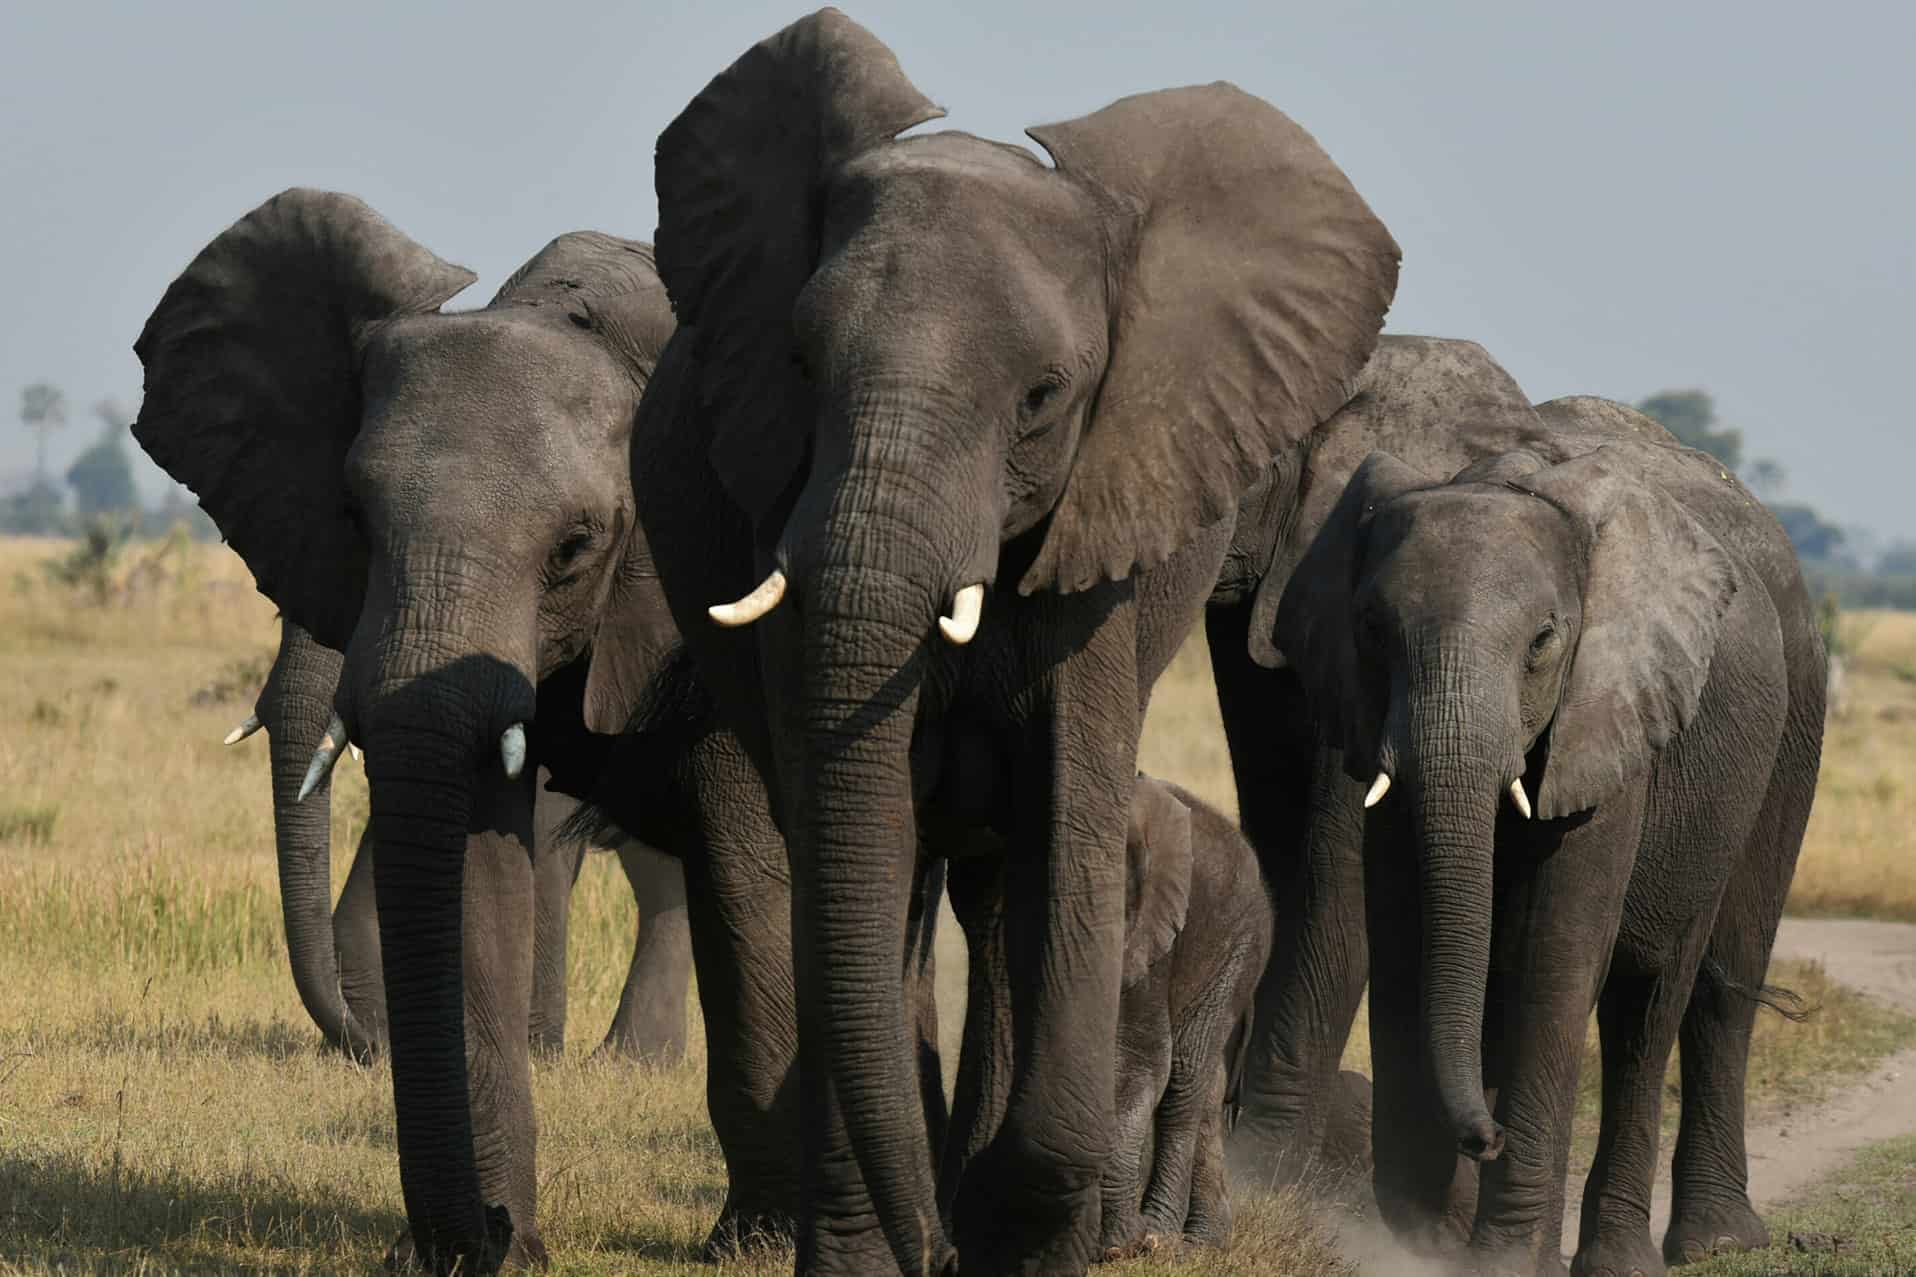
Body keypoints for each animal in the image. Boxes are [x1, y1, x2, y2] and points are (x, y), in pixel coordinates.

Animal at [1103, 770, 1279, 1257]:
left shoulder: (1151, 929)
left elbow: (1136, 1063)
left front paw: (1115, 1247)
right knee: (1206, 1081)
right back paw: (1202, 1243)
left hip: (1240, 948)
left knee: (1185, 1075)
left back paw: (1162, 1238)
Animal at [1272, 402, 1824, 1265]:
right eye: (1369, 628)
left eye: (1542, 641)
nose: (1485, 1137)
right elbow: (1403, 934)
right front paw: (1424, 1243)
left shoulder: (1610, 719)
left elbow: (1554, 948)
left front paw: (1501, 1259)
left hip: (1787, 732)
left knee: (1677, 1000)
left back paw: (1691, 1248)